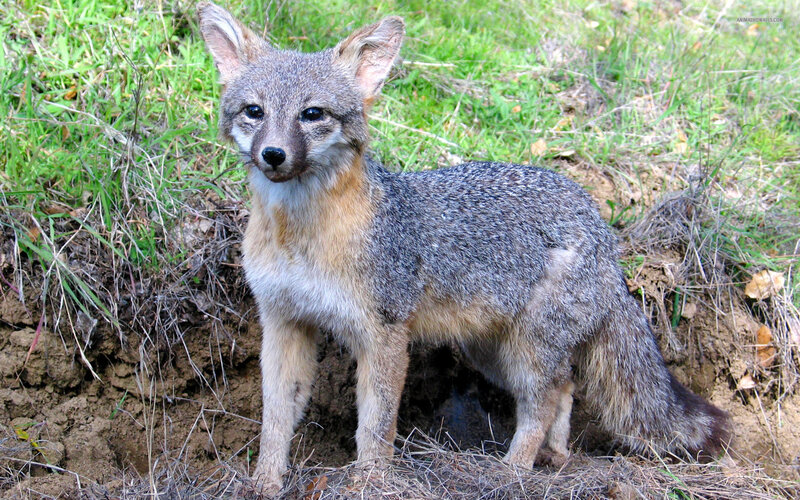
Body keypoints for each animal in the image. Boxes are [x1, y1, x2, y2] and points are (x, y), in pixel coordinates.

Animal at [197, 2, 730, 494]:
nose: (273, 155)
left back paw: (513, 471)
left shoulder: (385, 334)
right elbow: (275, 419)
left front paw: (371, 483)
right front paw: (265, 482)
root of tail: (599, 223)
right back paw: (555, 456)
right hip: (492, 353)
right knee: (565, 385)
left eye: (312, 114)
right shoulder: (284, 322)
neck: (300, 237)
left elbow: (375, 428)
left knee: (542, 402)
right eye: (254, 112)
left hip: (526, 352)